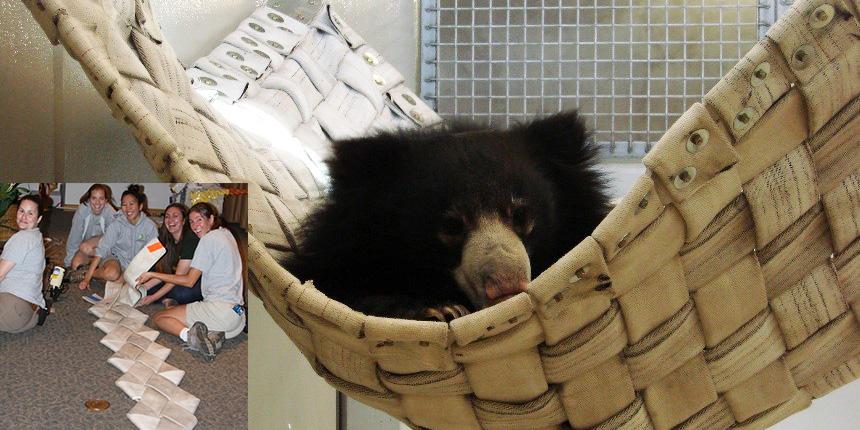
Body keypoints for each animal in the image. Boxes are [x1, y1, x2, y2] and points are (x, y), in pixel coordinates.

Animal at [288, 112, 612, 320]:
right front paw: (439, 309)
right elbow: (332, 283)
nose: (505, 287)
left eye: (520, 214)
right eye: (452, 226)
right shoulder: (343, 251)